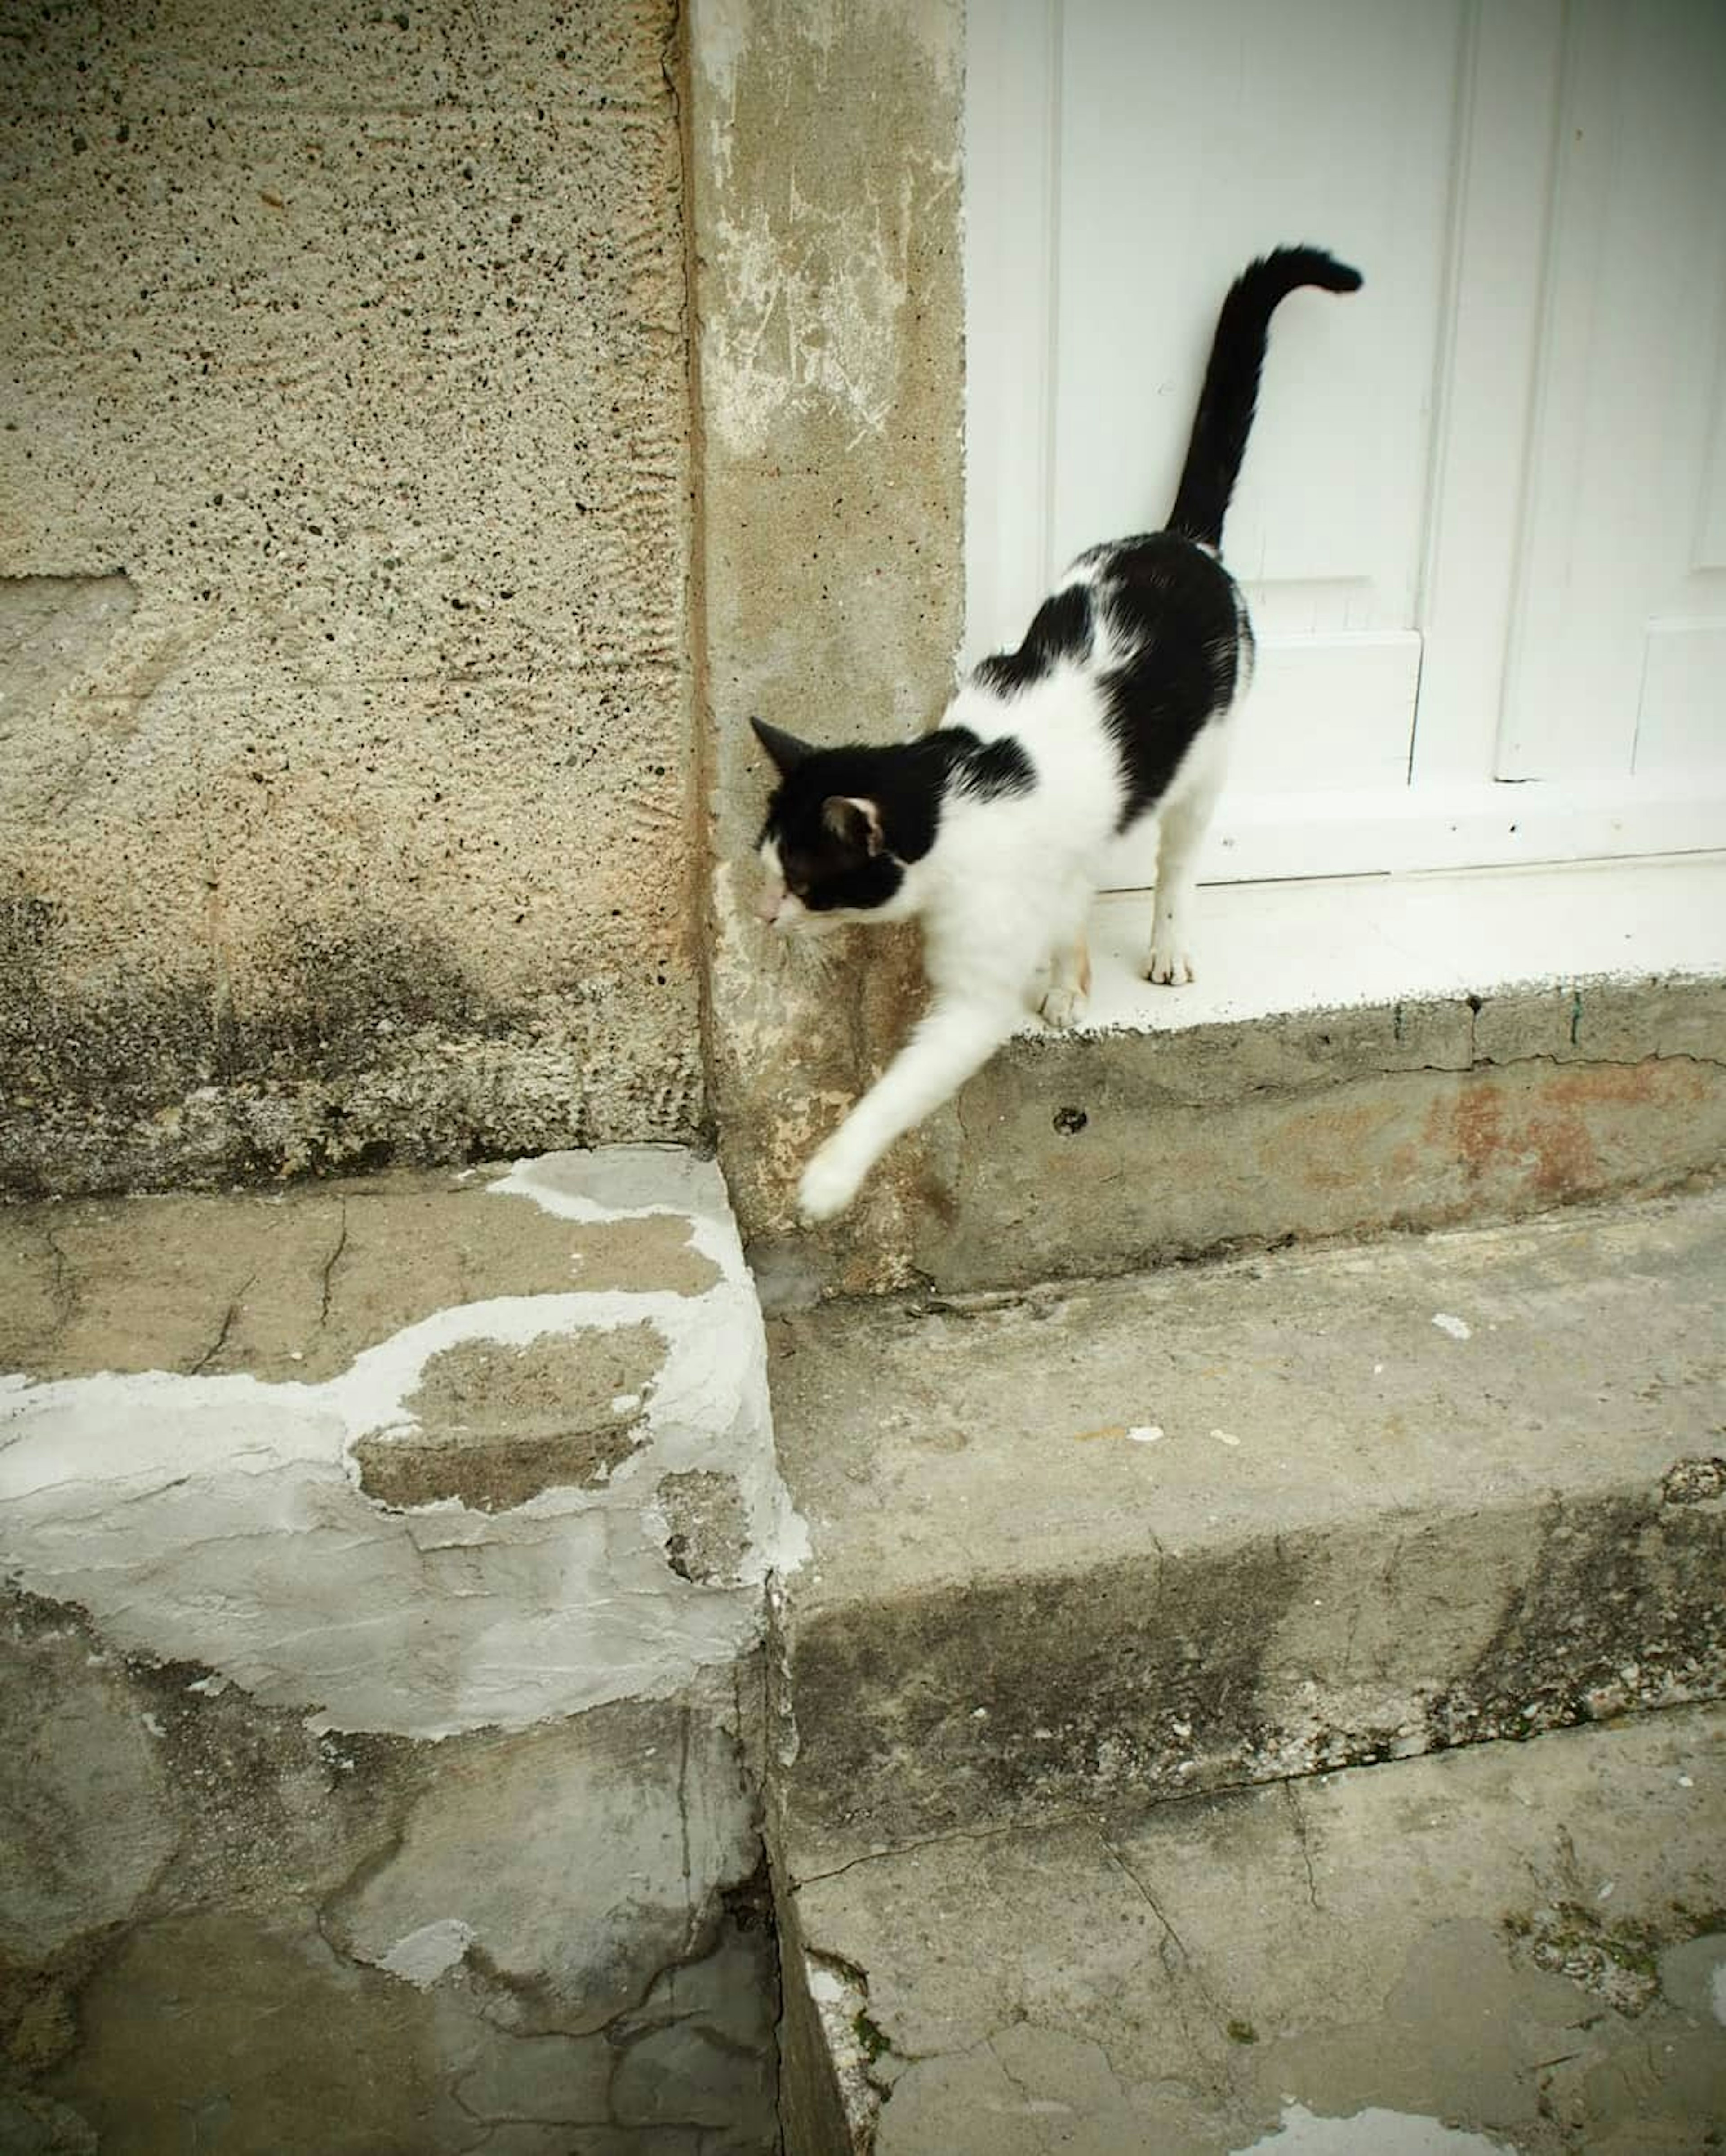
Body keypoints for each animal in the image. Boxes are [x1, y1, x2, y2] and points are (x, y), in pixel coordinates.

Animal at [754, 245, 1361, 1225]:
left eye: (805, 882)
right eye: (768, 869)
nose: (766, 914)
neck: (957, 780)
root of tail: (1187, 545)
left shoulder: (972, 995)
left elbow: (903, 1085)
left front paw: (829, 1175)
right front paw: (1065, 981)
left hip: (1209, 761)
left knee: (1177, 862)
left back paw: (1165, 947)